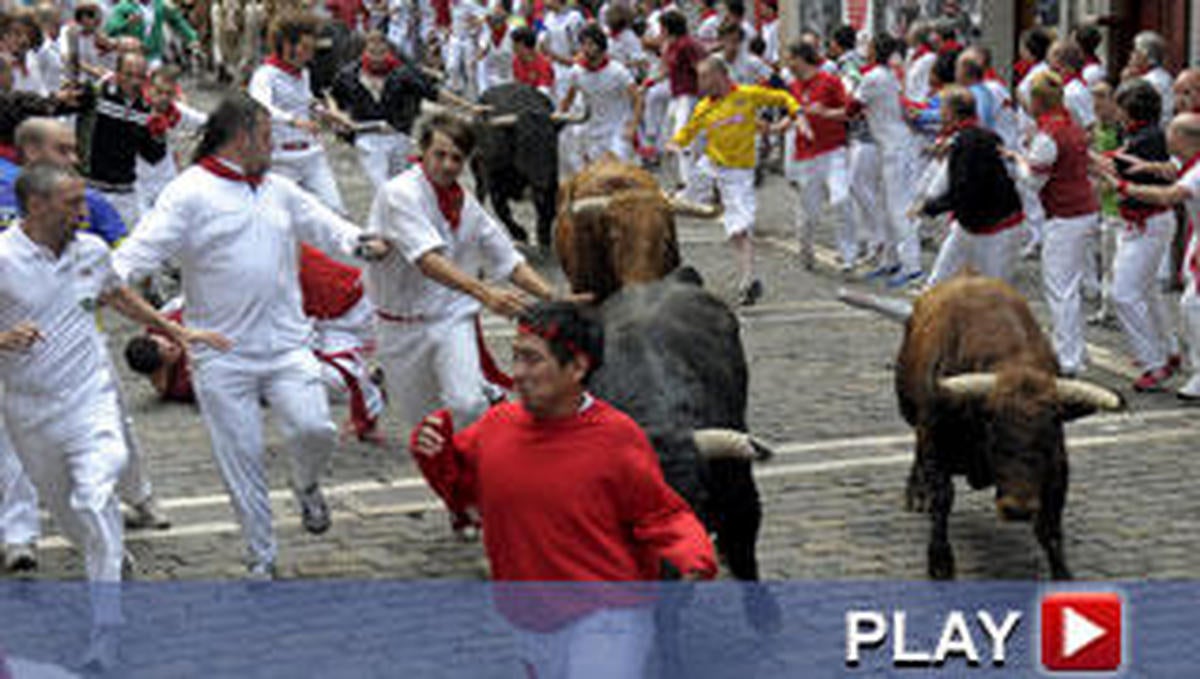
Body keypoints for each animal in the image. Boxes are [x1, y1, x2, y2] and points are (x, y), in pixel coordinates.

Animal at [844, 274, 1123, 583]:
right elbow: (942, 499)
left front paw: (1062, 571)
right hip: (909, 410)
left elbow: (1050, 524)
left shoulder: (1057, 465)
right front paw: (940, 561)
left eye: (1048, 435)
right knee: (917, 447)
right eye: (993, 432)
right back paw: (916, 493)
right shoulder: (935, 442)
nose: (1018, 508)